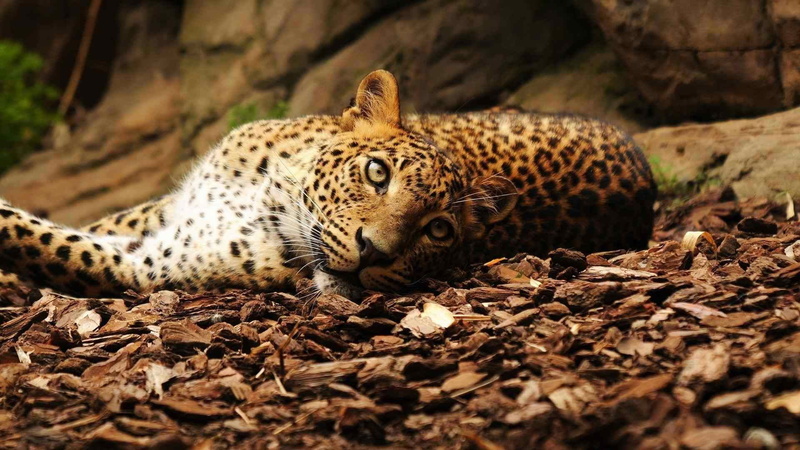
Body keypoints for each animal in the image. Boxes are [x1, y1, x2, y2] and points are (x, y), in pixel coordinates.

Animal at [0, 70, 656, 299]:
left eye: (438, 231)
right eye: (377, 173)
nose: (375, 254)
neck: (266, 196)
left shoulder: (145, 266)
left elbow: (36, 238)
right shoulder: (169, 208)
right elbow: (94, 221)